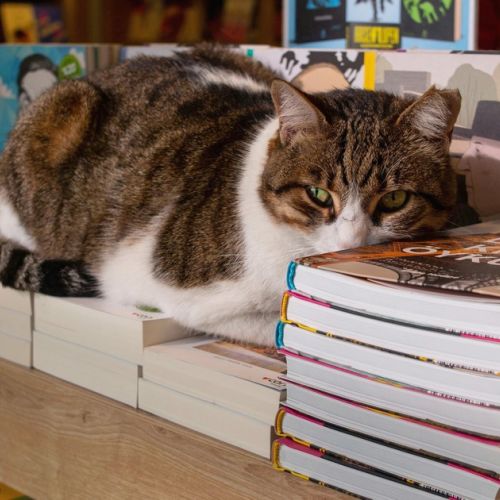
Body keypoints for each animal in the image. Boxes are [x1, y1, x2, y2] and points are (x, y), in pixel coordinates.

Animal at [0, 46, 460, 344]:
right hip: (64, 109)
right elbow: (282, 329)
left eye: (394, 200)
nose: (352, 243)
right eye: (318, 194)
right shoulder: (198, 301)